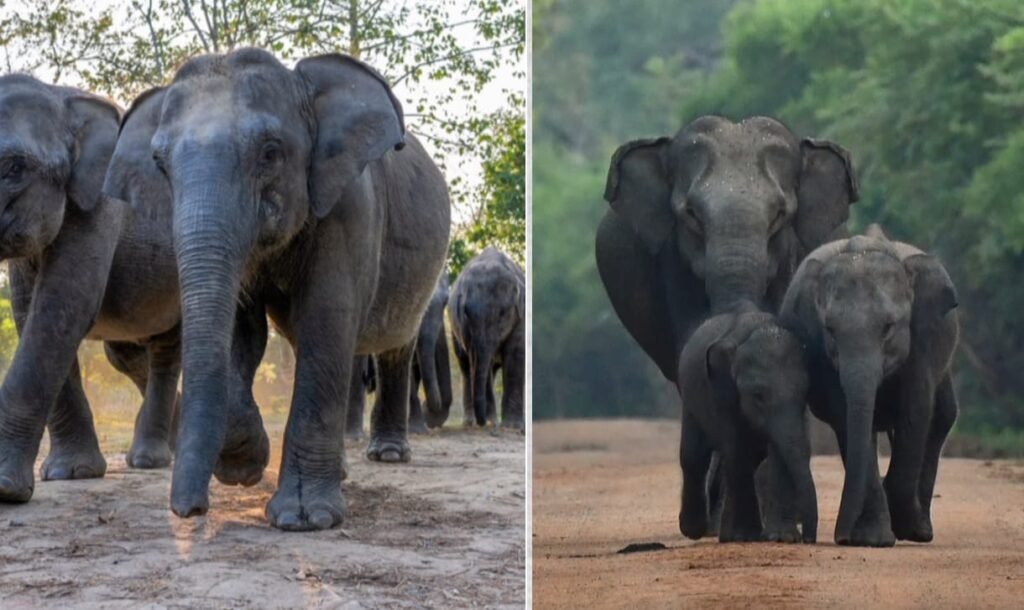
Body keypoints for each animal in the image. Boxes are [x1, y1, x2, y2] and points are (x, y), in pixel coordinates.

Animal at [105, 48, 451, 530]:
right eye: (159, 164)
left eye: (271, 153)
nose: (189, 511)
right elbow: (243, 331)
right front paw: (242, 467)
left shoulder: (350, 205)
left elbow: (326, 319)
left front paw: (304, 518)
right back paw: (343, 471)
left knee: (393, 347)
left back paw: (387, 455)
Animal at [448, 247, 525, 429]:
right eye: (466, 313)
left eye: (502, 314)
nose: (482, 422)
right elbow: (480, 362)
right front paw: (497, 423)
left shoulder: (521, 315)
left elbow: (516, 354)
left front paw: (513, 427)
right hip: (454, 333)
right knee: (467, 366)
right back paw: (471, 422)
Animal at [676, 305, 817, 543]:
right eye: (757, 395)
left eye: (805, 393)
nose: (809, 539)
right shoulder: (722, 395)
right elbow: (737, 450)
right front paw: (749, 536)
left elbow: (780, 452)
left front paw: (782, 538)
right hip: (691, 401)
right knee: (694, 456)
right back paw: (698, 530)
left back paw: (727, 536)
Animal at [778, 225, 959, 546]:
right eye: (830, 330)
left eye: (888, 327)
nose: (840, 537)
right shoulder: (820, 351)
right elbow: (844, 415)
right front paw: (873, 539)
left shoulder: (924, 338)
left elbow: (915, 411)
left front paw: (903, 528)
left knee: (942, 417)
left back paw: (920, 530)